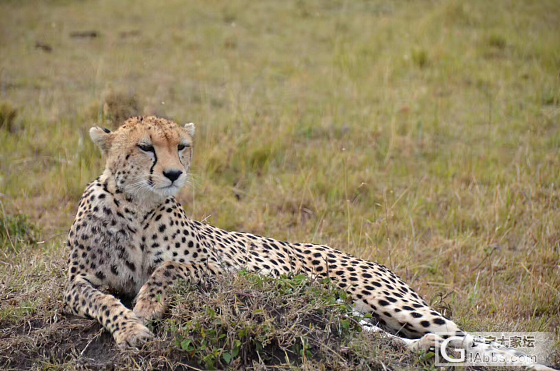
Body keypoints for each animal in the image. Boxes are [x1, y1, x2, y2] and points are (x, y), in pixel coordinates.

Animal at [63, 116, 552, 370]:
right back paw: (426, 351)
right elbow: (102, 301)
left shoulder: (220, 268)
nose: (173, 173)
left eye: (181, 146)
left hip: (388, 300)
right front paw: (131, 329)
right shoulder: (75, 282)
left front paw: (146, 305)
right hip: (345, 313)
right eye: (146, 147)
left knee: (470, 337)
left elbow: (170, 267)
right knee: (386, 340)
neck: (137, 208)